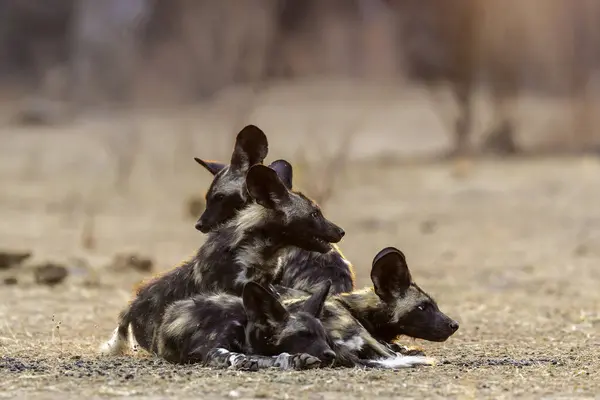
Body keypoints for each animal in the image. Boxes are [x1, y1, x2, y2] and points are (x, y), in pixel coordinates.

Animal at [155, 278, 336, 368]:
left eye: (324, 338)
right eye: (303, 335)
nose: (331, 355)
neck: (244, 331)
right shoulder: (213, 351)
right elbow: (247, 356)